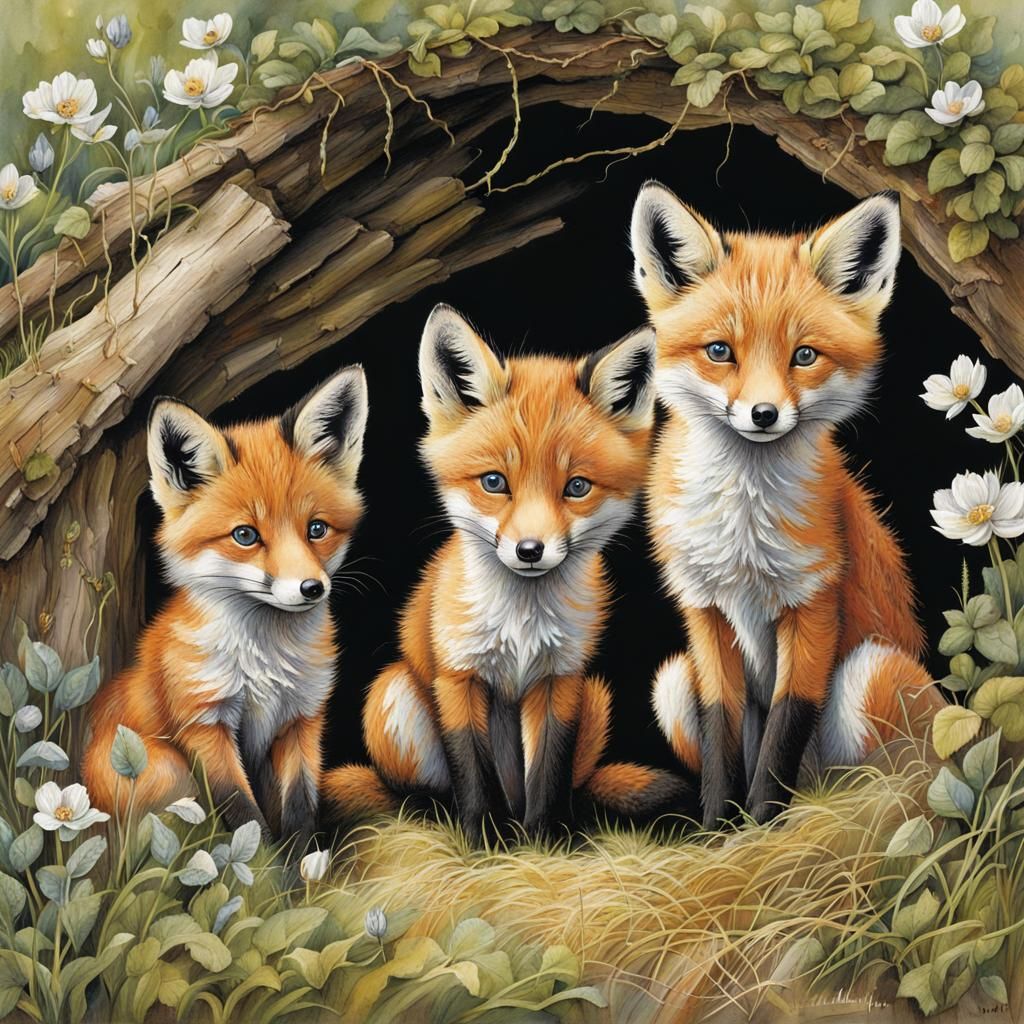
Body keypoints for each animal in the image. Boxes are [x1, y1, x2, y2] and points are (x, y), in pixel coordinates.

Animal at [82, 366, 369, 850]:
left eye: (316, 529)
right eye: (245, 536)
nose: (311, 588)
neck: (265, 661)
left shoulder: (302, 718)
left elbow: (298, 810)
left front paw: (306, 866)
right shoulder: (204, 723)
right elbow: (245, 816)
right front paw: (264, 869)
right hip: (166, 768)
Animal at [323, 304, 695, 842]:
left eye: (577, 487)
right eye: (495, 482)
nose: (530, 550)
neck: (522, 624)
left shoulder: (561, 680)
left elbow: (549, 770)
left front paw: (548, 839)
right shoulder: (458, 679)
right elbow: (474, 773)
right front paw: (483, 839)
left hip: (593, 699)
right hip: (392, 696)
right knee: (410, 792)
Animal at [628, 183, 943, 828]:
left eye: (804, 356)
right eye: (719, 351)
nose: (764, 414)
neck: (744, 532)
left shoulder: (813, 601)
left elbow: (783, 730)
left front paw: (762, 822)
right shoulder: (705, 611)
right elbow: (723, 734)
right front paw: (719, 830)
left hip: (867, 671)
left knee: (884, 776)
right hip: (671, 682)